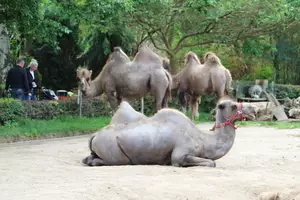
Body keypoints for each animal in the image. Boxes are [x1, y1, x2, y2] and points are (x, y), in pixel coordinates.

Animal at [82, 96, 255, 167]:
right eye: (233, 106)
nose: (253, 110)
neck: (203, 140)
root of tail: (94, 135)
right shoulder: (180, 155)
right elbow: (212, 163)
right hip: (114, 151)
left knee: (89, 158)